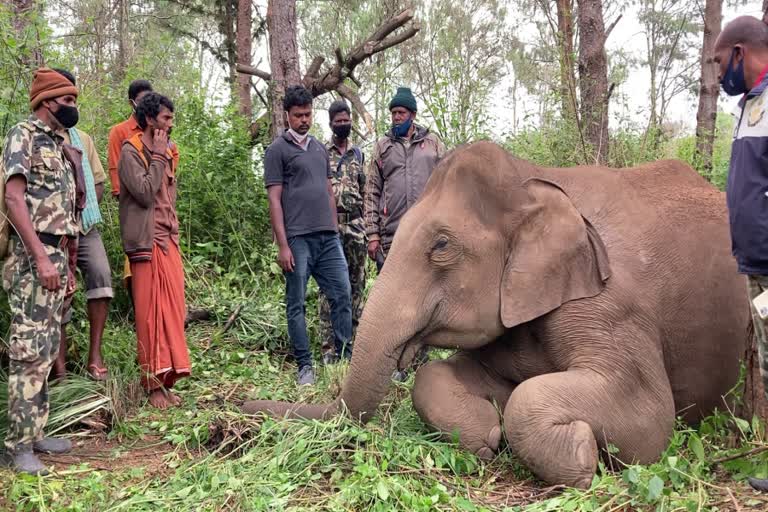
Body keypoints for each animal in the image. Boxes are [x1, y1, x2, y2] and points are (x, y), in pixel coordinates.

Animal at [243, 141, 748, 488]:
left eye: (441, 245)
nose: (241, 408)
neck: (534, 179)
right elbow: (449, 376)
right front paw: (487, 437)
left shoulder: (612, 303)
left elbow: (650, 420)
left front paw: (583, 456)